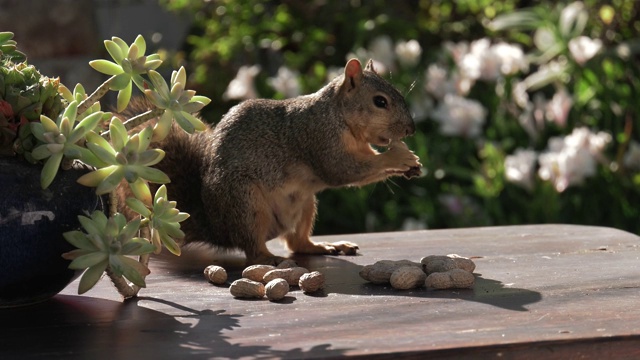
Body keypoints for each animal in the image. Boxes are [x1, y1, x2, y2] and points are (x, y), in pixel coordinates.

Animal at [120, 59, 422, 266]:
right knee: (252, 249)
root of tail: (218, 227)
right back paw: (269, 258)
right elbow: (343, 171)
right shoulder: (318, 138)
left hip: (305, 203)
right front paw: (399, 157)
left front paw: (413, 164)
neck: (339, 117)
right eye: (380, 102)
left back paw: (324, 247)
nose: (411, 129)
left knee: (297, 242)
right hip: (246, 203)